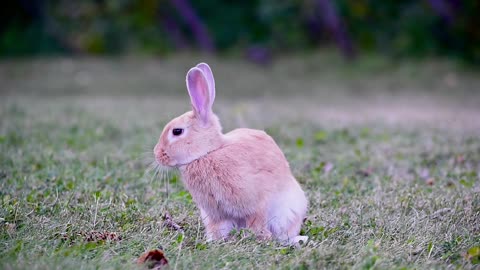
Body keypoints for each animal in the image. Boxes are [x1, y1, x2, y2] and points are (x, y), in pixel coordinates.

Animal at [154, 62, 308, 245]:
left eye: (177, 131)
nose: (157, 154)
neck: (209, 152)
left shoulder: (257, 204)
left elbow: (257, 222)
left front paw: (260, 238)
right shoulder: (216, 215)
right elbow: (218, 229)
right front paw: (212, 241)